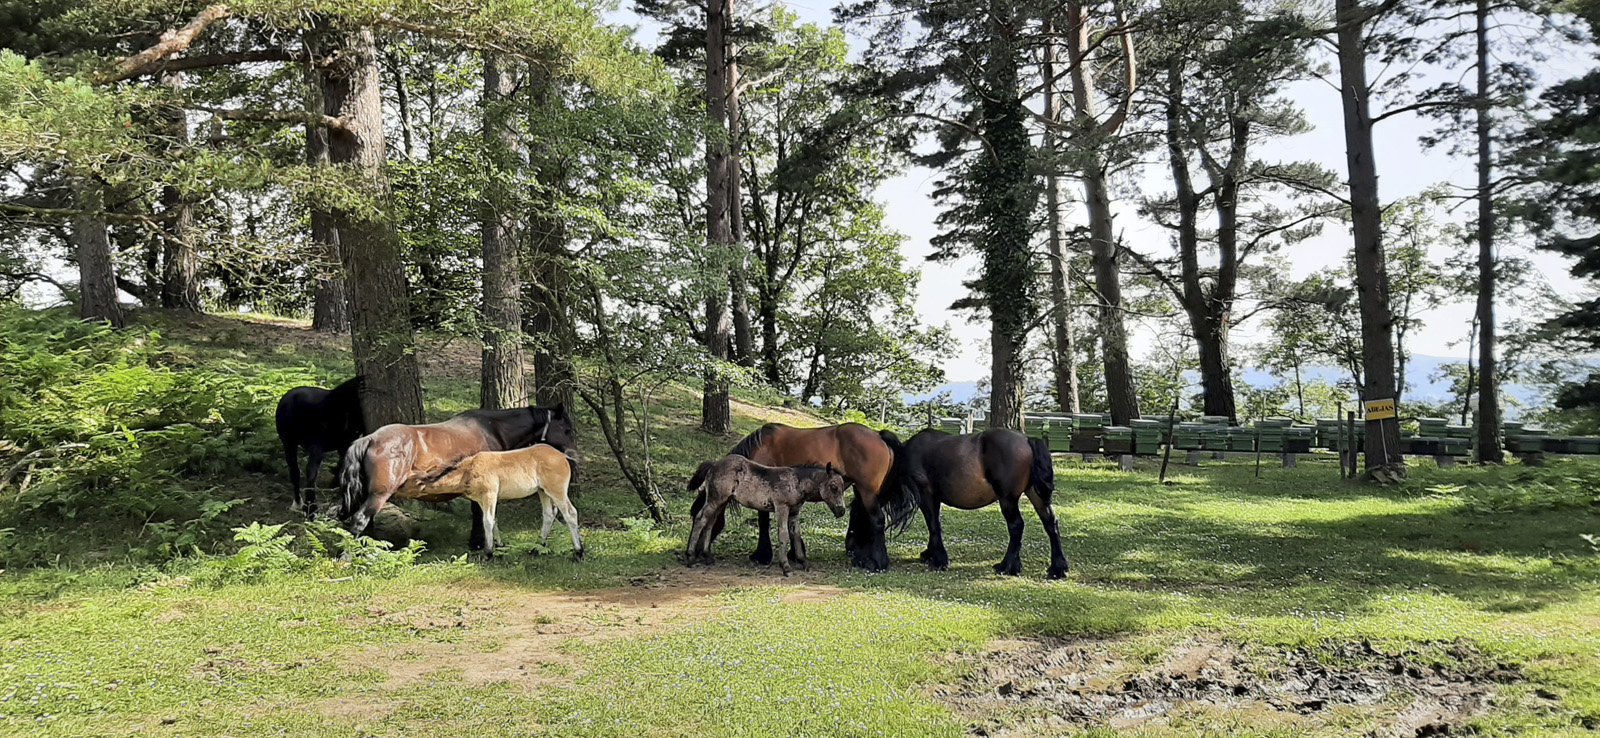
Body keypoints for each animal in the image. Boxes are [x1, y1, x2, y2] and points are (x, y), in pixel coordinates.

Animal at [274, 376, 364, 516]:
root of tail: (292, 402)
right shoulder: (345, 442)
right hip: (315, 444)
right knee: (311, 472)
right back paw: (311, 507)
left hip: (288, 443)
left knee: (294, 471)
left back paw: (298, 503)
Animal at [338, 403, 575, 549]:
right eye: (566, 429)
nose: (572, 454)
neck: (491, 429)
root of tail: (370, 438)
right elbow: (481, 515)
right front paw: (480, 544)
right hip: (379, 495)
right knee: (360, 520)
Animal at [395, 444, 581, 559]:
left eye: (406, 483)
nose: (395, 487)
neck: (468, 471)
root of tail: (562, 456)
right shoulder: (482, 500)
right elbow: (493, 520)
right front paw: (499, 546)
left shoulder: (489, 495)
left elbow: (488, 521)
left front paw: (488, 553)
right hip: (543, 492)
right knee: (549, 514)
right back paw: (536, 549)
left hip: (556, 491)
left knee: (570, 513)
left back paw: (579, 552)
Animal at [685, 457, 851, 575]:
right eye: (833, 487)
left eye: (843, 488)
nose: (841, 511)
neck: (795, 482)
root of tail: (713, 464)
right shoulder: (781, 507)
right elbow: (783, 535)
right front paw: (786, 567)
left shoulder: (794, 512)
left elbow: (796, 535)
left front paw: (804, 563)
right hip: (715, 499)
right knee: (700, 519)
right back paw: (691, 557)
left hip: (721, 501)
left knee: (709, 522)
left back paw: (708, 556)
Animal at [899, 428, 1070, 579]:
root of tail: (1027, 440)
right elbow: (935, 524)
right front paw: (930, 554)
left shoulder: (926, 494)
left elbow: (933, 524)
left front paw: (938, 560)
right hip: (1035, 494)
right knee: (1050, 523)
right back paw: (1056, 569)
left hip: (1007, 499)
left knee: (1016, 526)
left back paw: (1006, 566)